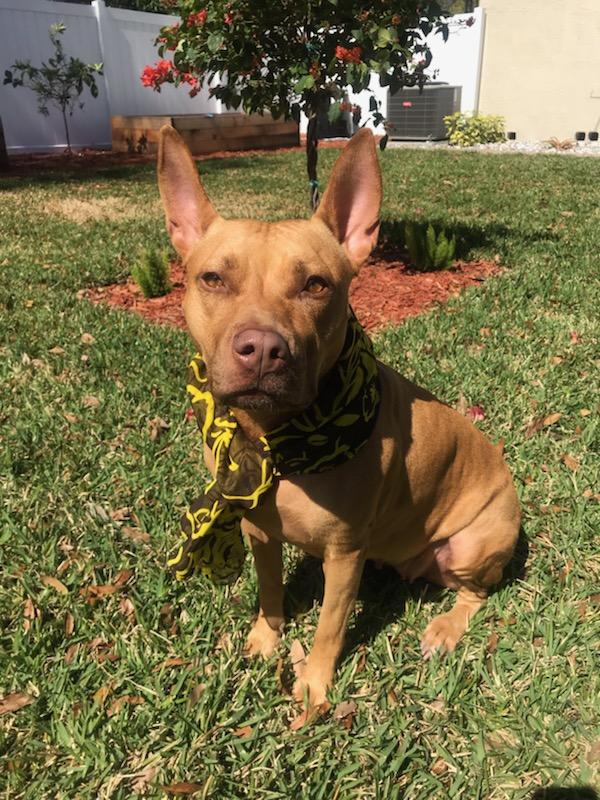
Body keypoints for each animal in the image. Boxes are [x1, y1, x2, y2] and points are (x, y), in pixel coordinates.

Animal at [156, 125, 520, 708]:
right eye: (212, 279)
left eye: (316, 285)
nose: (262, 350)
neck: (277, 444)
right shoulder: (259, 532)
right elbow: (270, 589)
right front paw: (267, 638)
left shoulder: (345, 555)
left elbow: (329, 625)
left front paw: (314, 686)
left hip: (470, 545)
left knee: (476, 593)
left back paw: (444, 629)